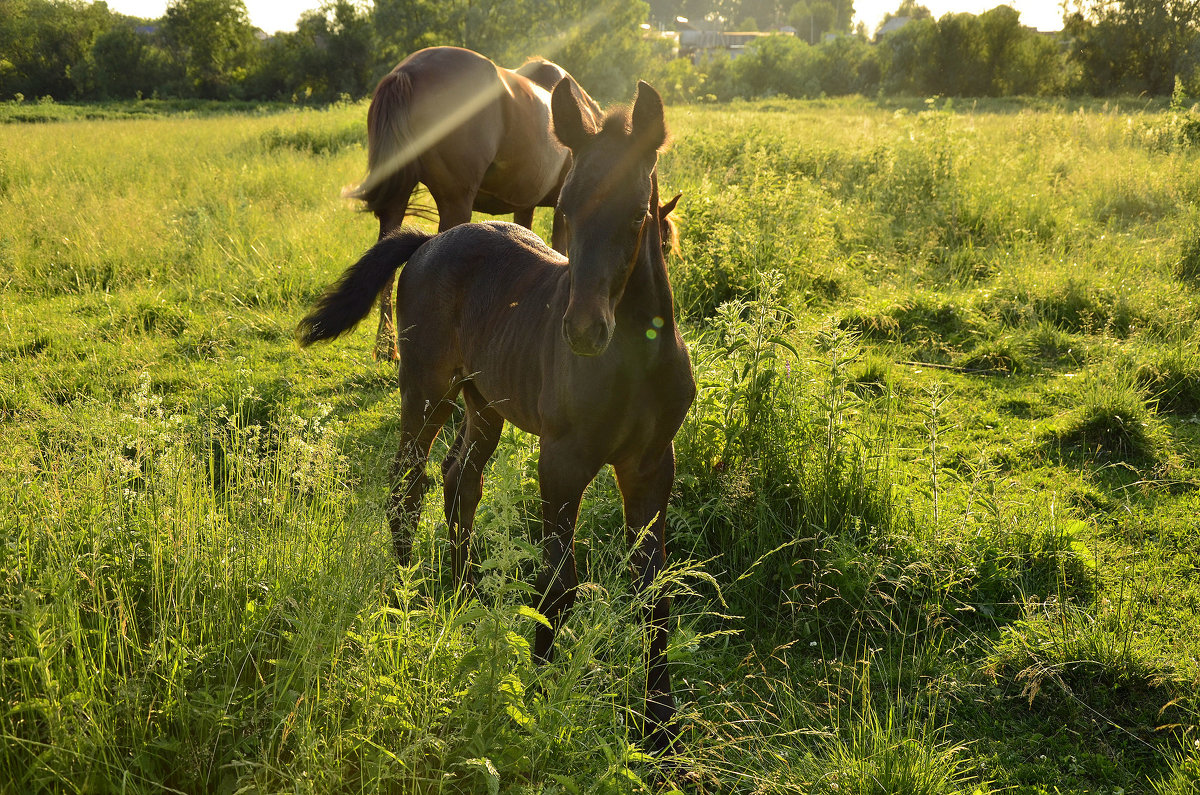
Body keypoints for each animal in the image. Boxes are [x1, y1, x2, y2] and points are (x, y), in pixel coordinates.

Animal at [298, 79, 696, 754]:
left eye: (637, 214)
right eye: (567, 207)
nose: (583, 331)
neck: (634, 357)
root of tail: (429, 242)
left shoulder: (651, 465)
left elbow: (654, 593)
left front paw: (660, 725)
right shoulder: (563, 459)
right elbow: (557, 584)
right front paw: (536, 697)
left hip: (484, 404)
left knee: (461, 479)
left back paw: (462, 597)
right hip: (426, 391)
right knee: (408, 484)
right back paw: (406, 600)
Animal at [350, 45, 604, 362]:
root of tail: (408, 72)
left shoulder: (525, 205)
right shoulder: (559, 211)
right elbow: (560, 250)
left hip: (398, 201)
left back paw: (387, 345)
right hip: (455, 202)